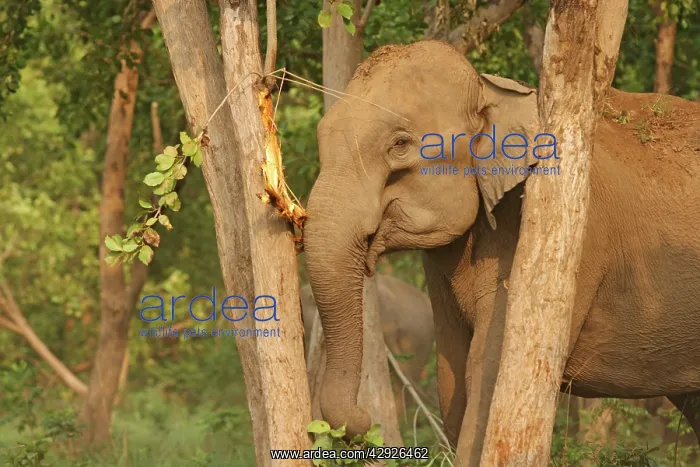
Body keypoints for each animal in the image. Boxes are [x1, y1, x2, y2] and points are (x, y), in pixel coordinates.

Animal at [302, 40, 700, 465]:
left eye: (400, 144)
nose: (362, 422)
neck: (491, 91)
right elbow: (452, 372)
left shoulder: (572, 236)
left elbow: (488, 367)